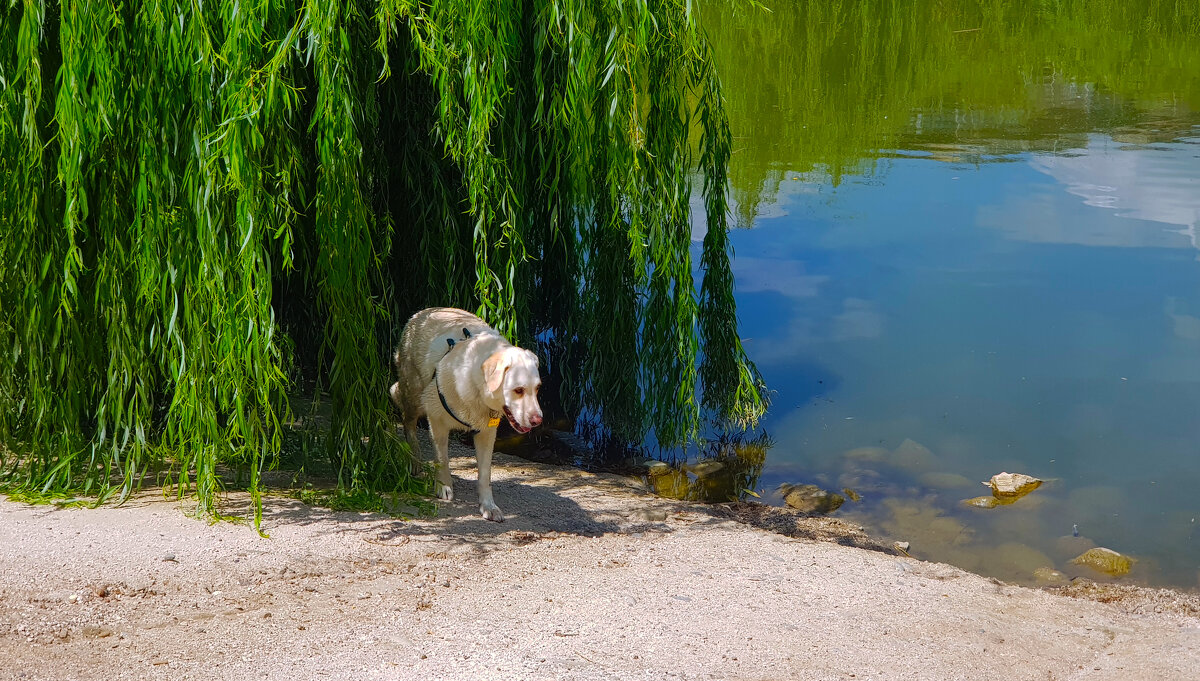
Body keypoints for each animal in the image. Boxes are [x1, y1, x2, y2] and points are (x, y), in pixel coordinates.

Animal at [388, 309, 544, 520]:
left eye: (537, 388)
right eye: (518, 390)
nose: (538, 420)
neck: (478, 389)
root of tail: (422, 313)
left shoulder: (487, 433)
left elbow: (485, 475)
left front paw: (488, 506)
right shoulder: (437, 422)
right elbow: (442, 459)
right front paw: (444, 487)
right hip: (414, 396)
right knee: (408, 423)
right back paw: (415, 461)